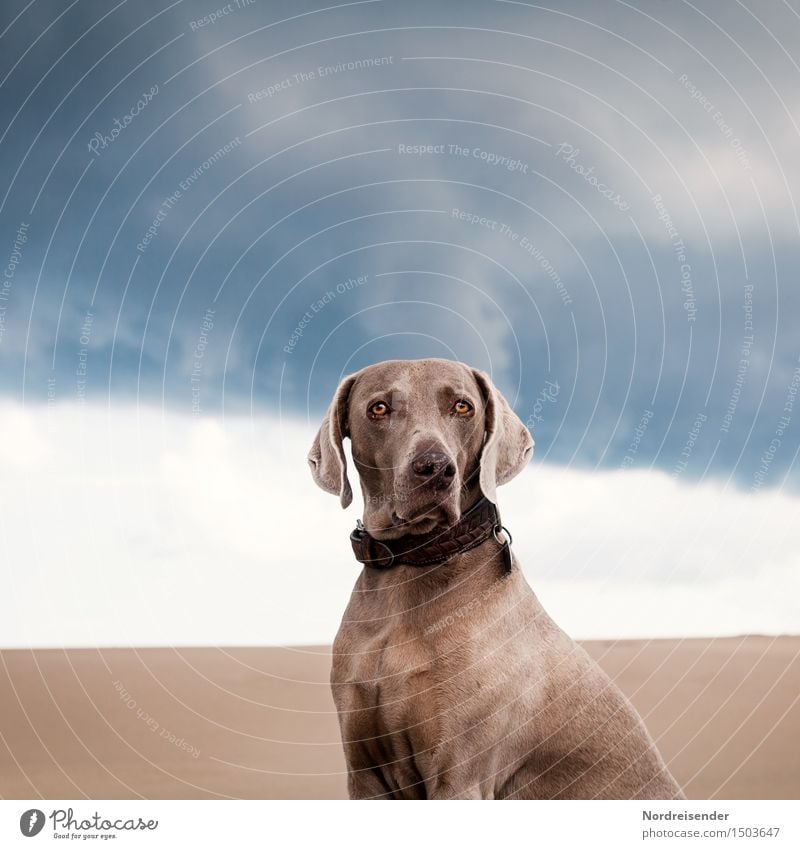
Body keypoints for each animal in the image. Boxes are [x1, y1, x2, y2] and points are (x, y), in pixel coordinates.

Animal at [310, 362, 684, 800]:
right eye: (379, 408)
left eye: (462, 406)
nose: (434, 468)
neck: (409, 568)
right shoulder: (365, 775)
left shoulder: (459, 778)